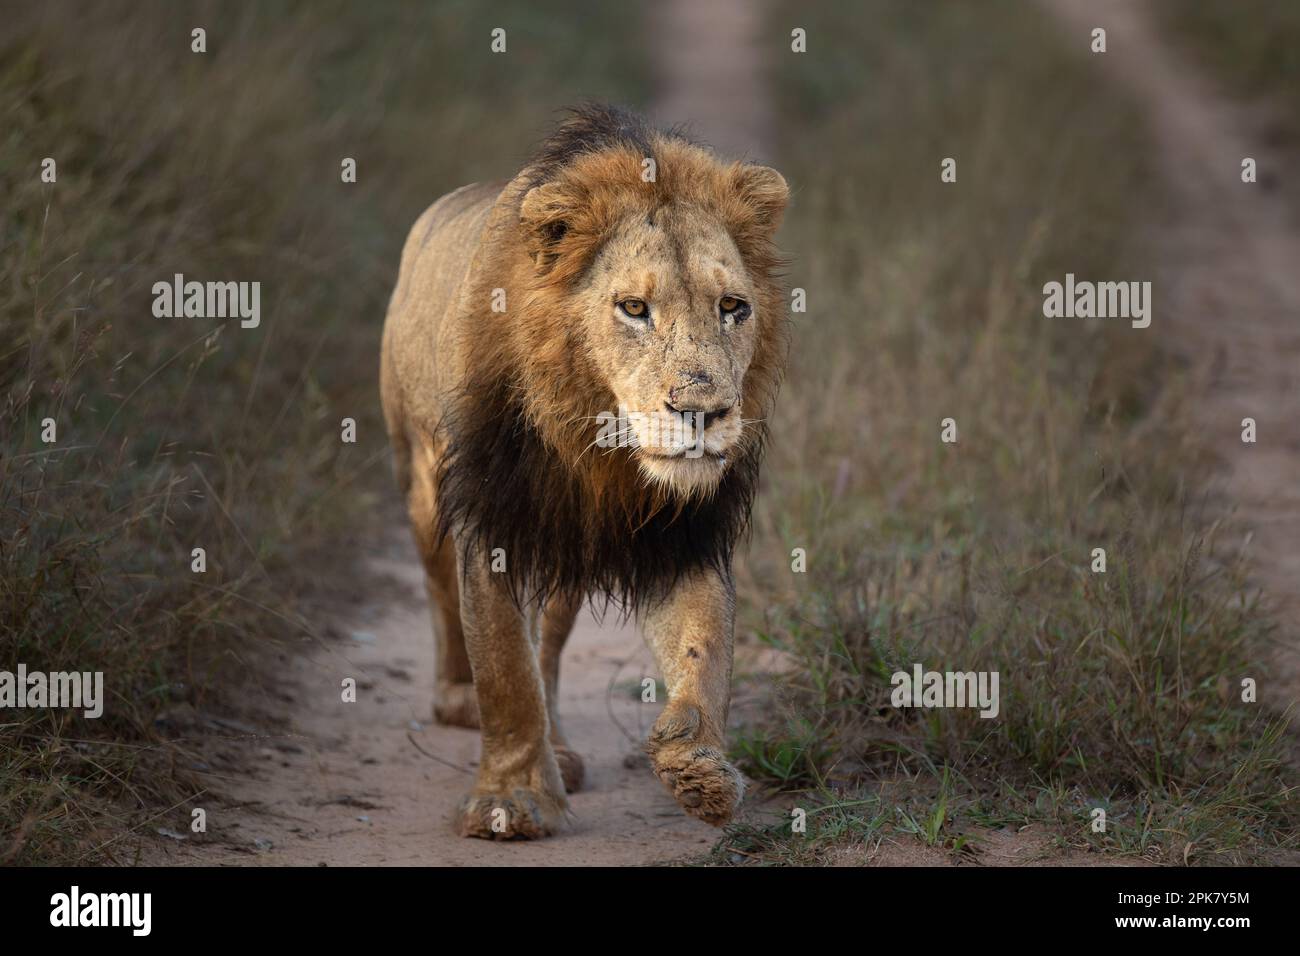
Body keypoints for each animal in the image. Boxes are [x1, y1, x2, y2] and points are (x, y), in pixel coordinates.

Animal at [379, 104, 790, 837]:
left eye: (732, 307)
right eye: (634, 308)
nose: (703, 411)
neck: (603, 448)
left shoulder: (686, 530)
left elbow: (704, 648)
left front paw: (700, 767)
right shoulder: (493, 516)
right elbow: (505, 669)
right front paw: (511, 800)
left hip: (565, 548)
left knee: (548, 648)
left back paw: (563, 751)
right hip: (422, 482)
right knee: (442, 595)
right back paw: (458, 700)